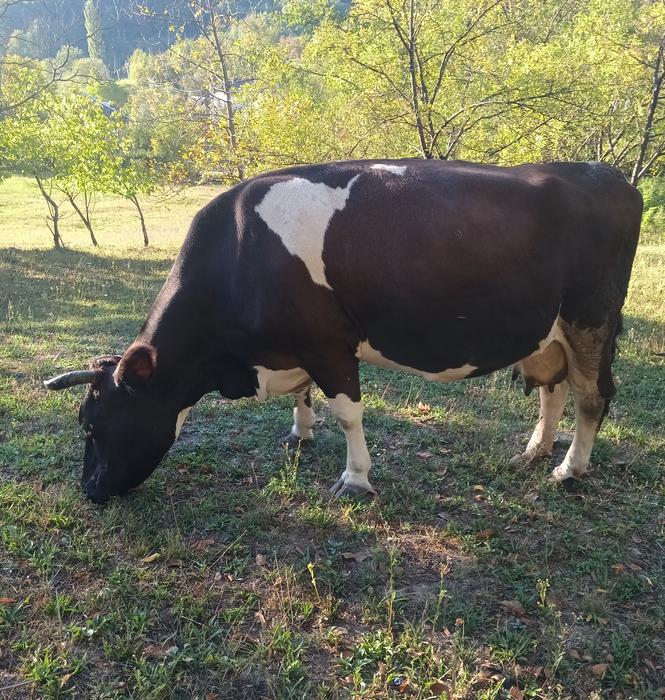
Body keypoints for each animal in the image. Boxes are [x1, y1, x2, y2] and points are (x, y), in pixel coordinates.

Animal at [44, 159, 643, 504]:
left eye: (93, 425)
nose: (89, 490)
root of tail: (606, 174)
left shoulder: (328, 343)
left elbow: (348, 412)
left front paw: (355, 478)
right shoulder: (296, 346)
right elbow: (305, 396)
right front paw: (300, 431)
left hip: (591, 317)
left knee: (592, 395)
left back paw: (569, 468)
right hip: (549, 330)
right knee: (553, 388)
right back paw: (535, 451)